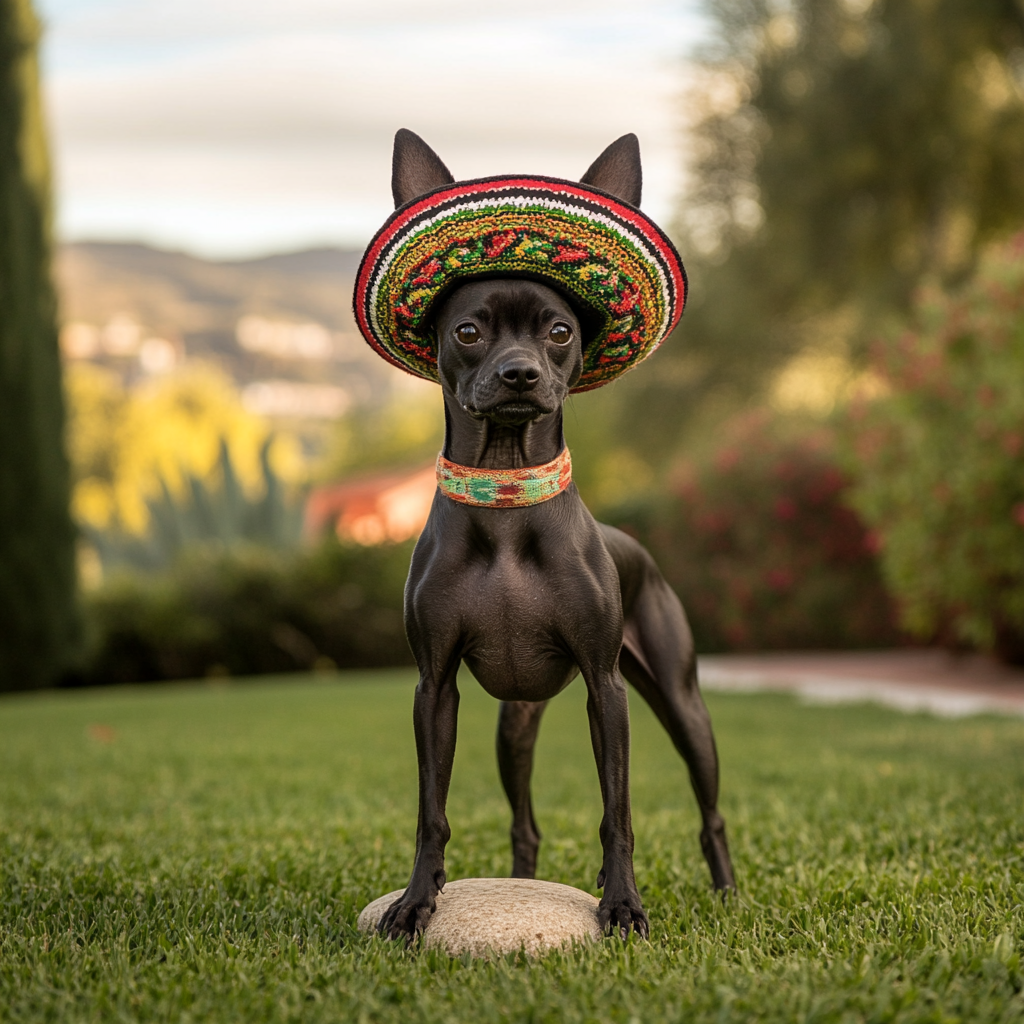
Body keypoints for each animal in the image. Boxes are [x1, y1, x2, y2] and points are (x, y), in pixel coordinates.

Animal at [376, 130, 737, 942]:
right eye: (468, 330)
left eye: (560, 330)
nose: (519, 375)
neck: (508, 505)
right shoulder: (434, 688)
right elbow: (431, 812)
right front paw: (417, 902)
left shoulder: (607, 690)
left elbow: (618, 813)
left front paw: (624, 904)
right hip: (515, 728)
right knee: (526, 824)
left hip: (683, 706)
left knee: (709, 811)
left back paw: (728, 892)